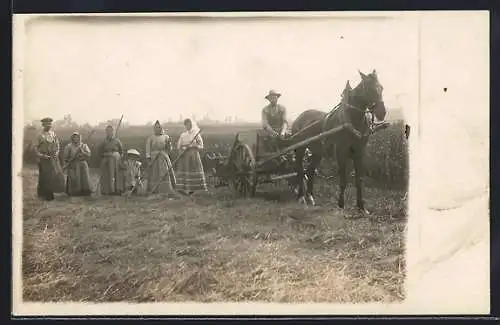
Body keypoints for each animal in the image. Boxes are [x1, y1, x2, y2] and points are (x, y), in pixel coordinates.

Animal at [290, 70, 386, 213]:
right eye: (370, 89)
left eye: (381, 87)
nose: (382, 113)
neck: (352, 119)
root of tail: (299, 118)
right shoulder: (342, 151)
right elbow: (343, 179)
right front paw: (341, 204)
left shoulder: (360, 151)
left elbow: (359, 179)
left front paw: (362, 206)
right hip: (300, 149)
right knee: (300, 169)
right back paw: (301, 197)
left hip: (317, 152)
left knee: (311, 170)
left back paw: (311, 198)